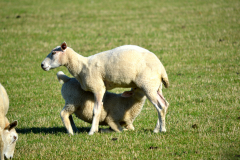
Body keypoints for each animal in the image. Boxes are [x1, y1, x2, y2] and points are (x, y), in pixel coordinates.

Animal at [40, 42, 169, 135]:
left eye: (53, 53)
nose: (42, 65)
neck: (82, 66)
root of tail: (161, 68)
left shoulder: (98, 87)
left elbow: (96, 110)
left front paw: (92, 131)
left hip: (148, 85)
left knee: (160, 107)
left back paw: (162, 130)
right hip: (156, 87)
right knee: (164, 104)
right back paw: (157, 129)